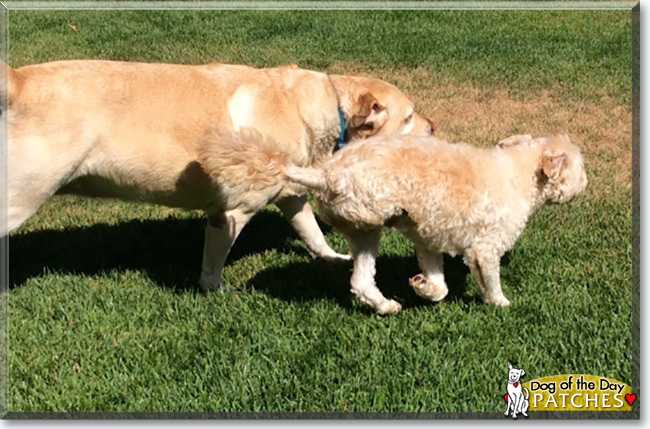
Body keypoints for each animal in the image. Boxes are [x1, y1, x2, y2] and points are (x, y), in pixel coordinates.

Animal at [3, 60, 436, 290]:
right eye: (409, 116)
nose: (433, 128)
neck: (326, 107)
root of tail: (19, 80)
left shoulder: (290, 194)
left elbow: (310, 230)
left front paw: (331, 257)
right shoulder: (230, 213)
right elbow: (214, 263)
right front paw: (216, 291)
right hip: (21, 198)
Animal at [278, 132, 588, 312]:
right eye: (580, 167)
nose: (586, 183)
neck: (522, 172)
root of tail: (324, 175)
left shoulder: (429, 241)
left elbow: (440, 286)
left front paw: (422, 287)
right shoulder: (486, 248)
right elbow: (490, 281)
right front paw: (500, 303)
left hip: (363, 233)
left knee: (361, 281)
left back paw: (387, 306)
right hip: (370, 207)